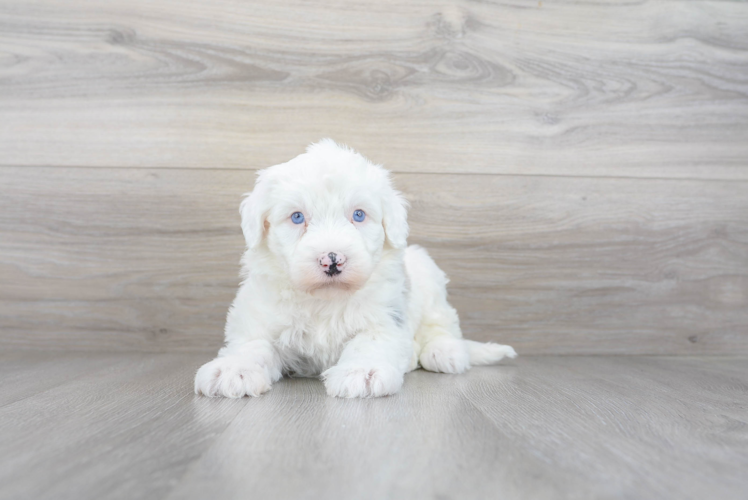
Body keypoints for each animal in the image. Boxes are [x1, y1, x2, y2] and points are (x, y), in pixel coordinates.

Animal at [196, 140, 516, 398]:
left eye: (359, 215)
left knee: (442, 324)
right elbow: (252, 344)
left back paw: (444, 352)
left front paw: (361, 372)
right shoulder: (258, 315)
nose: (332, 260)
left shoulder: (385, 317)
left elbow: (369, 342)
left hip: (429, 277)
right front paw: (232, 370)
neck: (324, 300)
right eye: (297, 217)